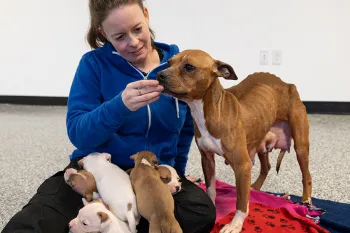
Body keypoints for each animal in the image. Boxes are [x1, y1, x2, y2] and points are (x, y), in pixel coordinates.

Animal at [156, 50, 312, 233]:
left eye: (189, 67)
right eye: (169, 63)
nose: (159, 75)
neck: (210, 110)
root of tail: (287, 84)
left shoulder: (242, 165)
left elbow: (241, 200)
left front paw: (235, 224)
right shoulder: (207, 159)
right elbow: (211, 188)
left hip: (300, 147)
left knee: (306, 175)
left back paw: (306, 200)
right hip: (260, 141)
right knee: (266, 167)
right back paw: (255, 188)